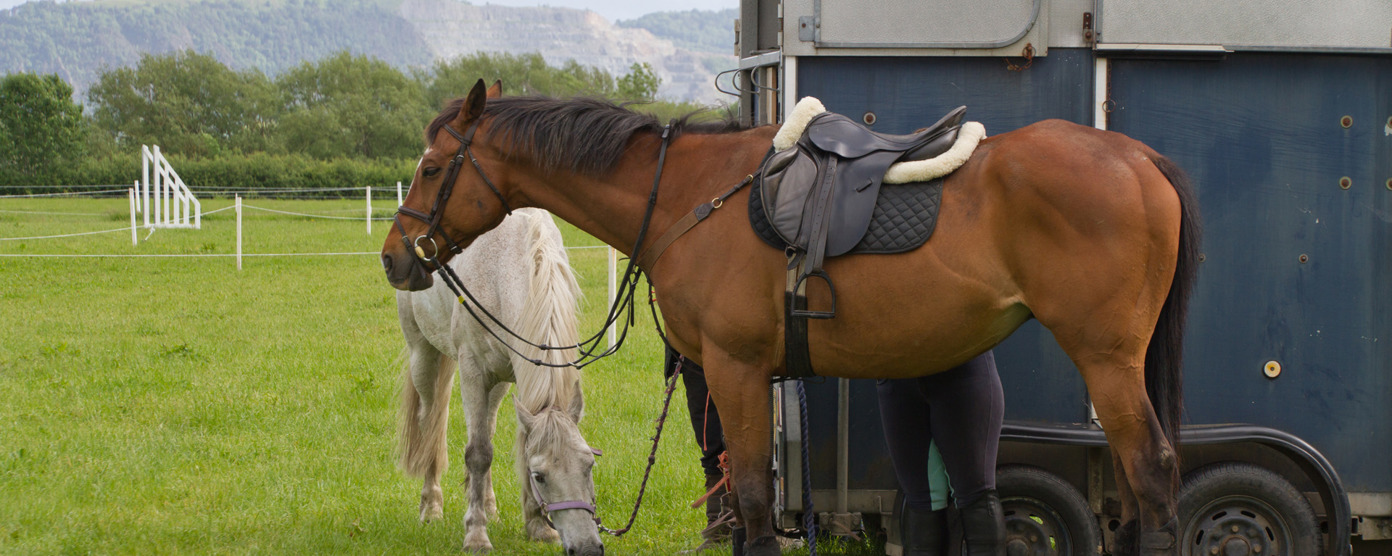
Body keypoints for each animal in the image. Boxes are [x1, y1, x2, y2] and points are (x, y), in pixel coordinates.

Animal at [393, 205, 602, 556]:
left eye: (588, 465)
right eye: (540, 476)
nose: (587, 547)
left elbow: (511, 443)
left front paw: (537, 526)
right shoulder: (473, 371)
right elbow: (478, 453)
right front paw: (476, 534)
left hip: (498, 383)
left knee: (486, 428)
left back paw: (489, 507)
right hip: (423, 355)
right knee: (432, 423)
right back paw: (431, 507)